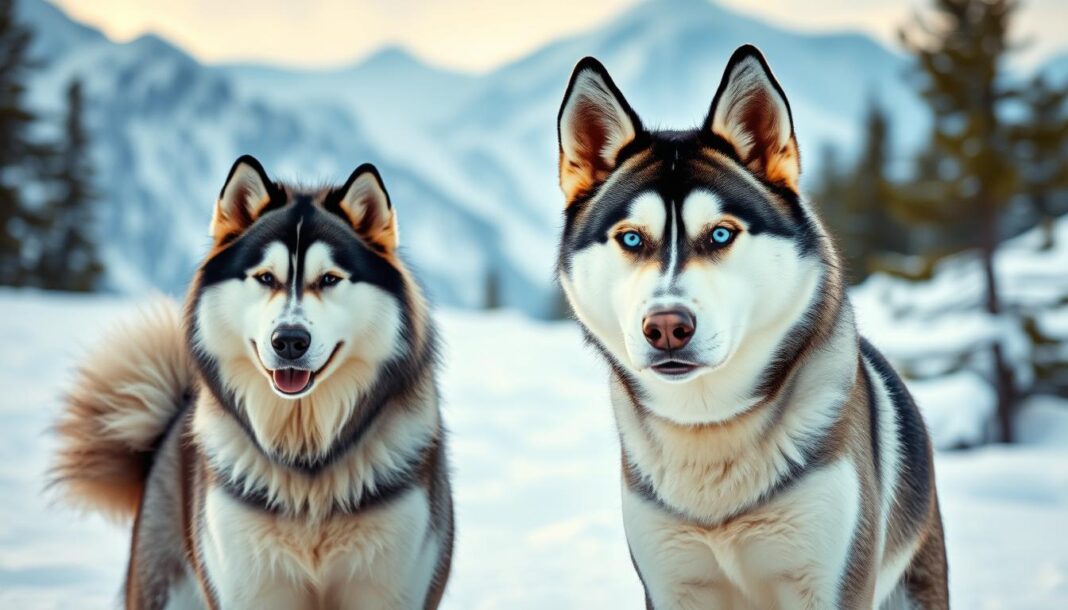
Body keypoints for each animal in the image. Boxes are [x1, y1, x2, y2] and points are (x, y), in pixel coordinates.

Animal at [50, 159, 454, 610]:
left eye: (329, 279)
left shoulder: (391, 586)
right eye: (265, 277)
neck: (305, 459)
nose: (290, 340)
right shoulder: (249, 586)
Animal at [555, 45, 948, 606]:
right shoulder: (670, 581)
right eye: (631, 238)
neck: (708, 428)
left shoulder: (832, 580)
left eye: (720, 233)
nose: (666, 326)